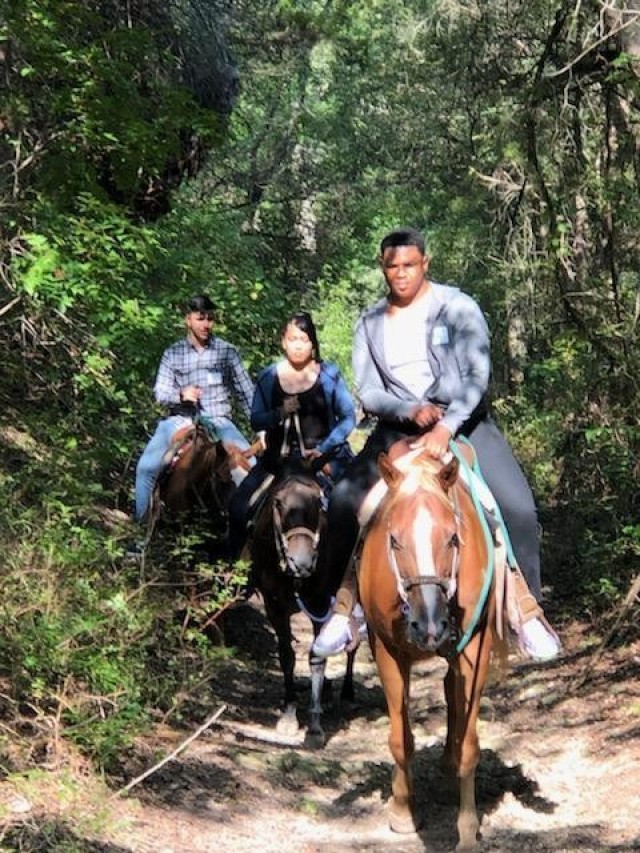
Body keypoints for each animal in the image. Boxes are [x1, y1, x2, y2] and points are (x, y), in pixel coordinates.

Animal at [248, 456, 356, 744]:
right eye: (277, 501)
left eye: (318, 501)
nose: (302, 562)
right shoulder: (274, 605)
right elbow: (286, 655)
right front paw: (289, 714)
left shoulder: (320, 603)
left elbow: (317, 657)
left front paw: (314, 726)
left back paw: (347, 693)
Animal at [358, 440, 502, 852]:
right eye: (394, 540)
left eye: (453, 538)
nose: (430, 625)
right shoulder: (388, 651)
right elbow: (400, 739)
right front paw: (403, 811)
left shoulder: (476, 650)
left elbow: (470, 744)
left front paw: (467, 830)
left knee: (452, 692)